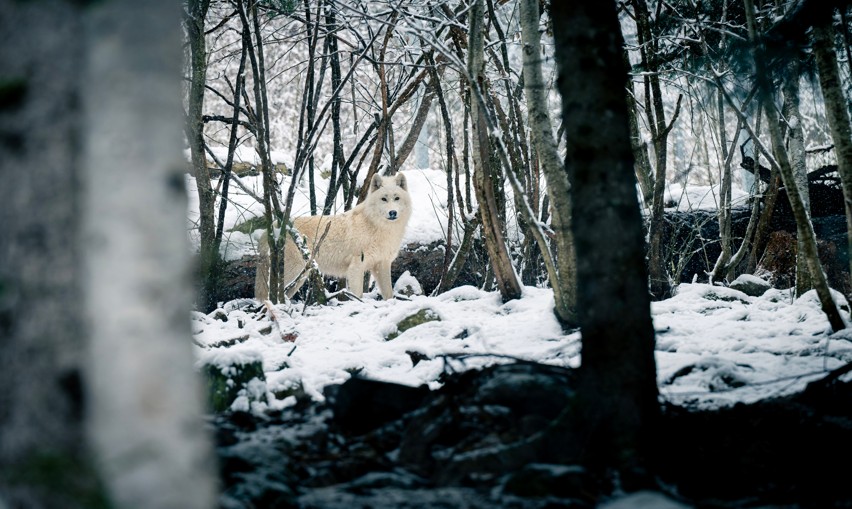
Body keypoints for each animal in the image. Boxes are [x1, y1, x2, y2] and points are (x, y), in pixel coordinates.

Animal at [255, 172, 412, 301]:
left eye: (396, 198)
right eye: (384, 199)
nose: (392, 212)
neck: (378, 227)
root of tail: (272, 228)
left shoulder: (382, 265)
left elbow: (389, 294)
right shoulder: (356, 267)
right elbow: (357, 295)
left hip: (300, 277)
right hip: (292, 274)